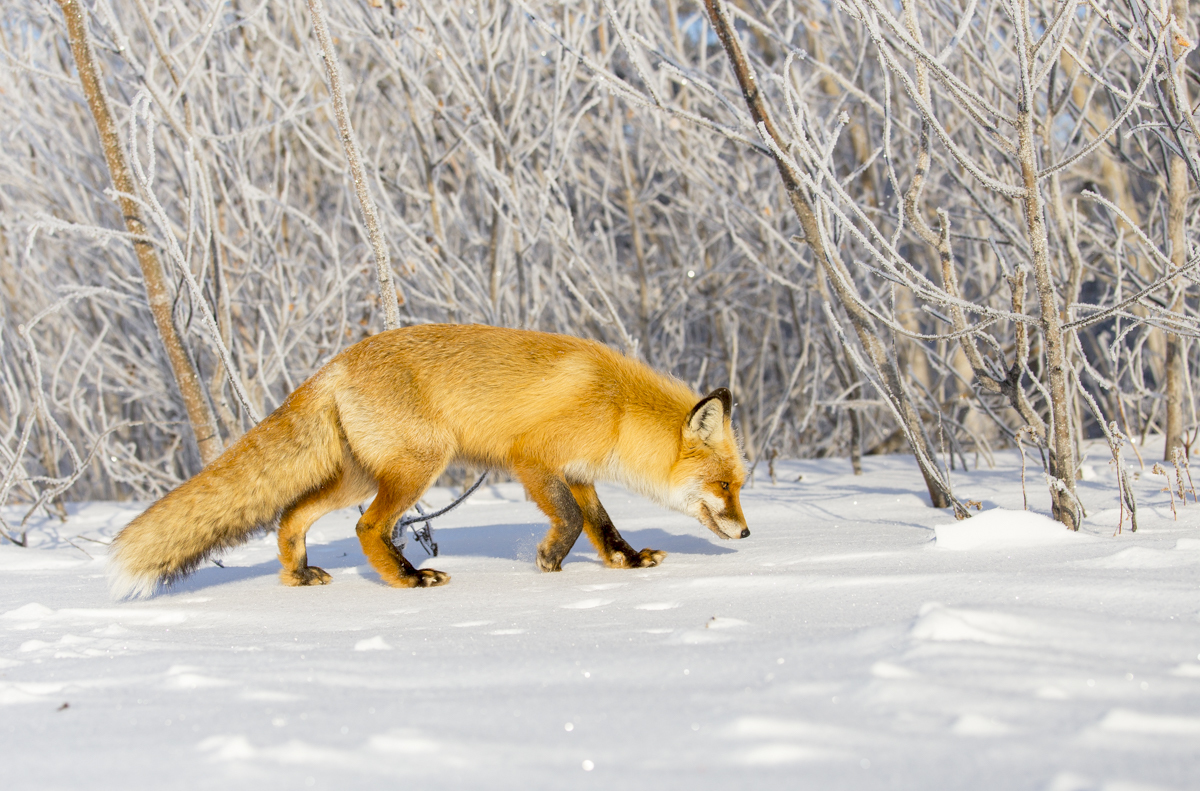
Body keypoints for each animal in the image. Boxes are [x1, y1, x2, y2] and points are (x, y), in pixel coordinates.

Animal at [112, 324, 748, 597]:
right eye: (723, 485)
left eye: (740, 485)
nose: (746, 533)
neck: (617, 409)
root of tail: (335, 364)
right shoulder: (531, 459)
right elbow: (568, 520)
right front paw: (548, 562)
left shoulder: (578, 473)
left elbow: (601, 524)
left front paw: (627, 561)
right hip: (418, 466)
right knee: (369, 527)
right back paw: (408, 578)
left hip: (357, 477)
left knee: (292, 515)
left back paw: (297, 575)